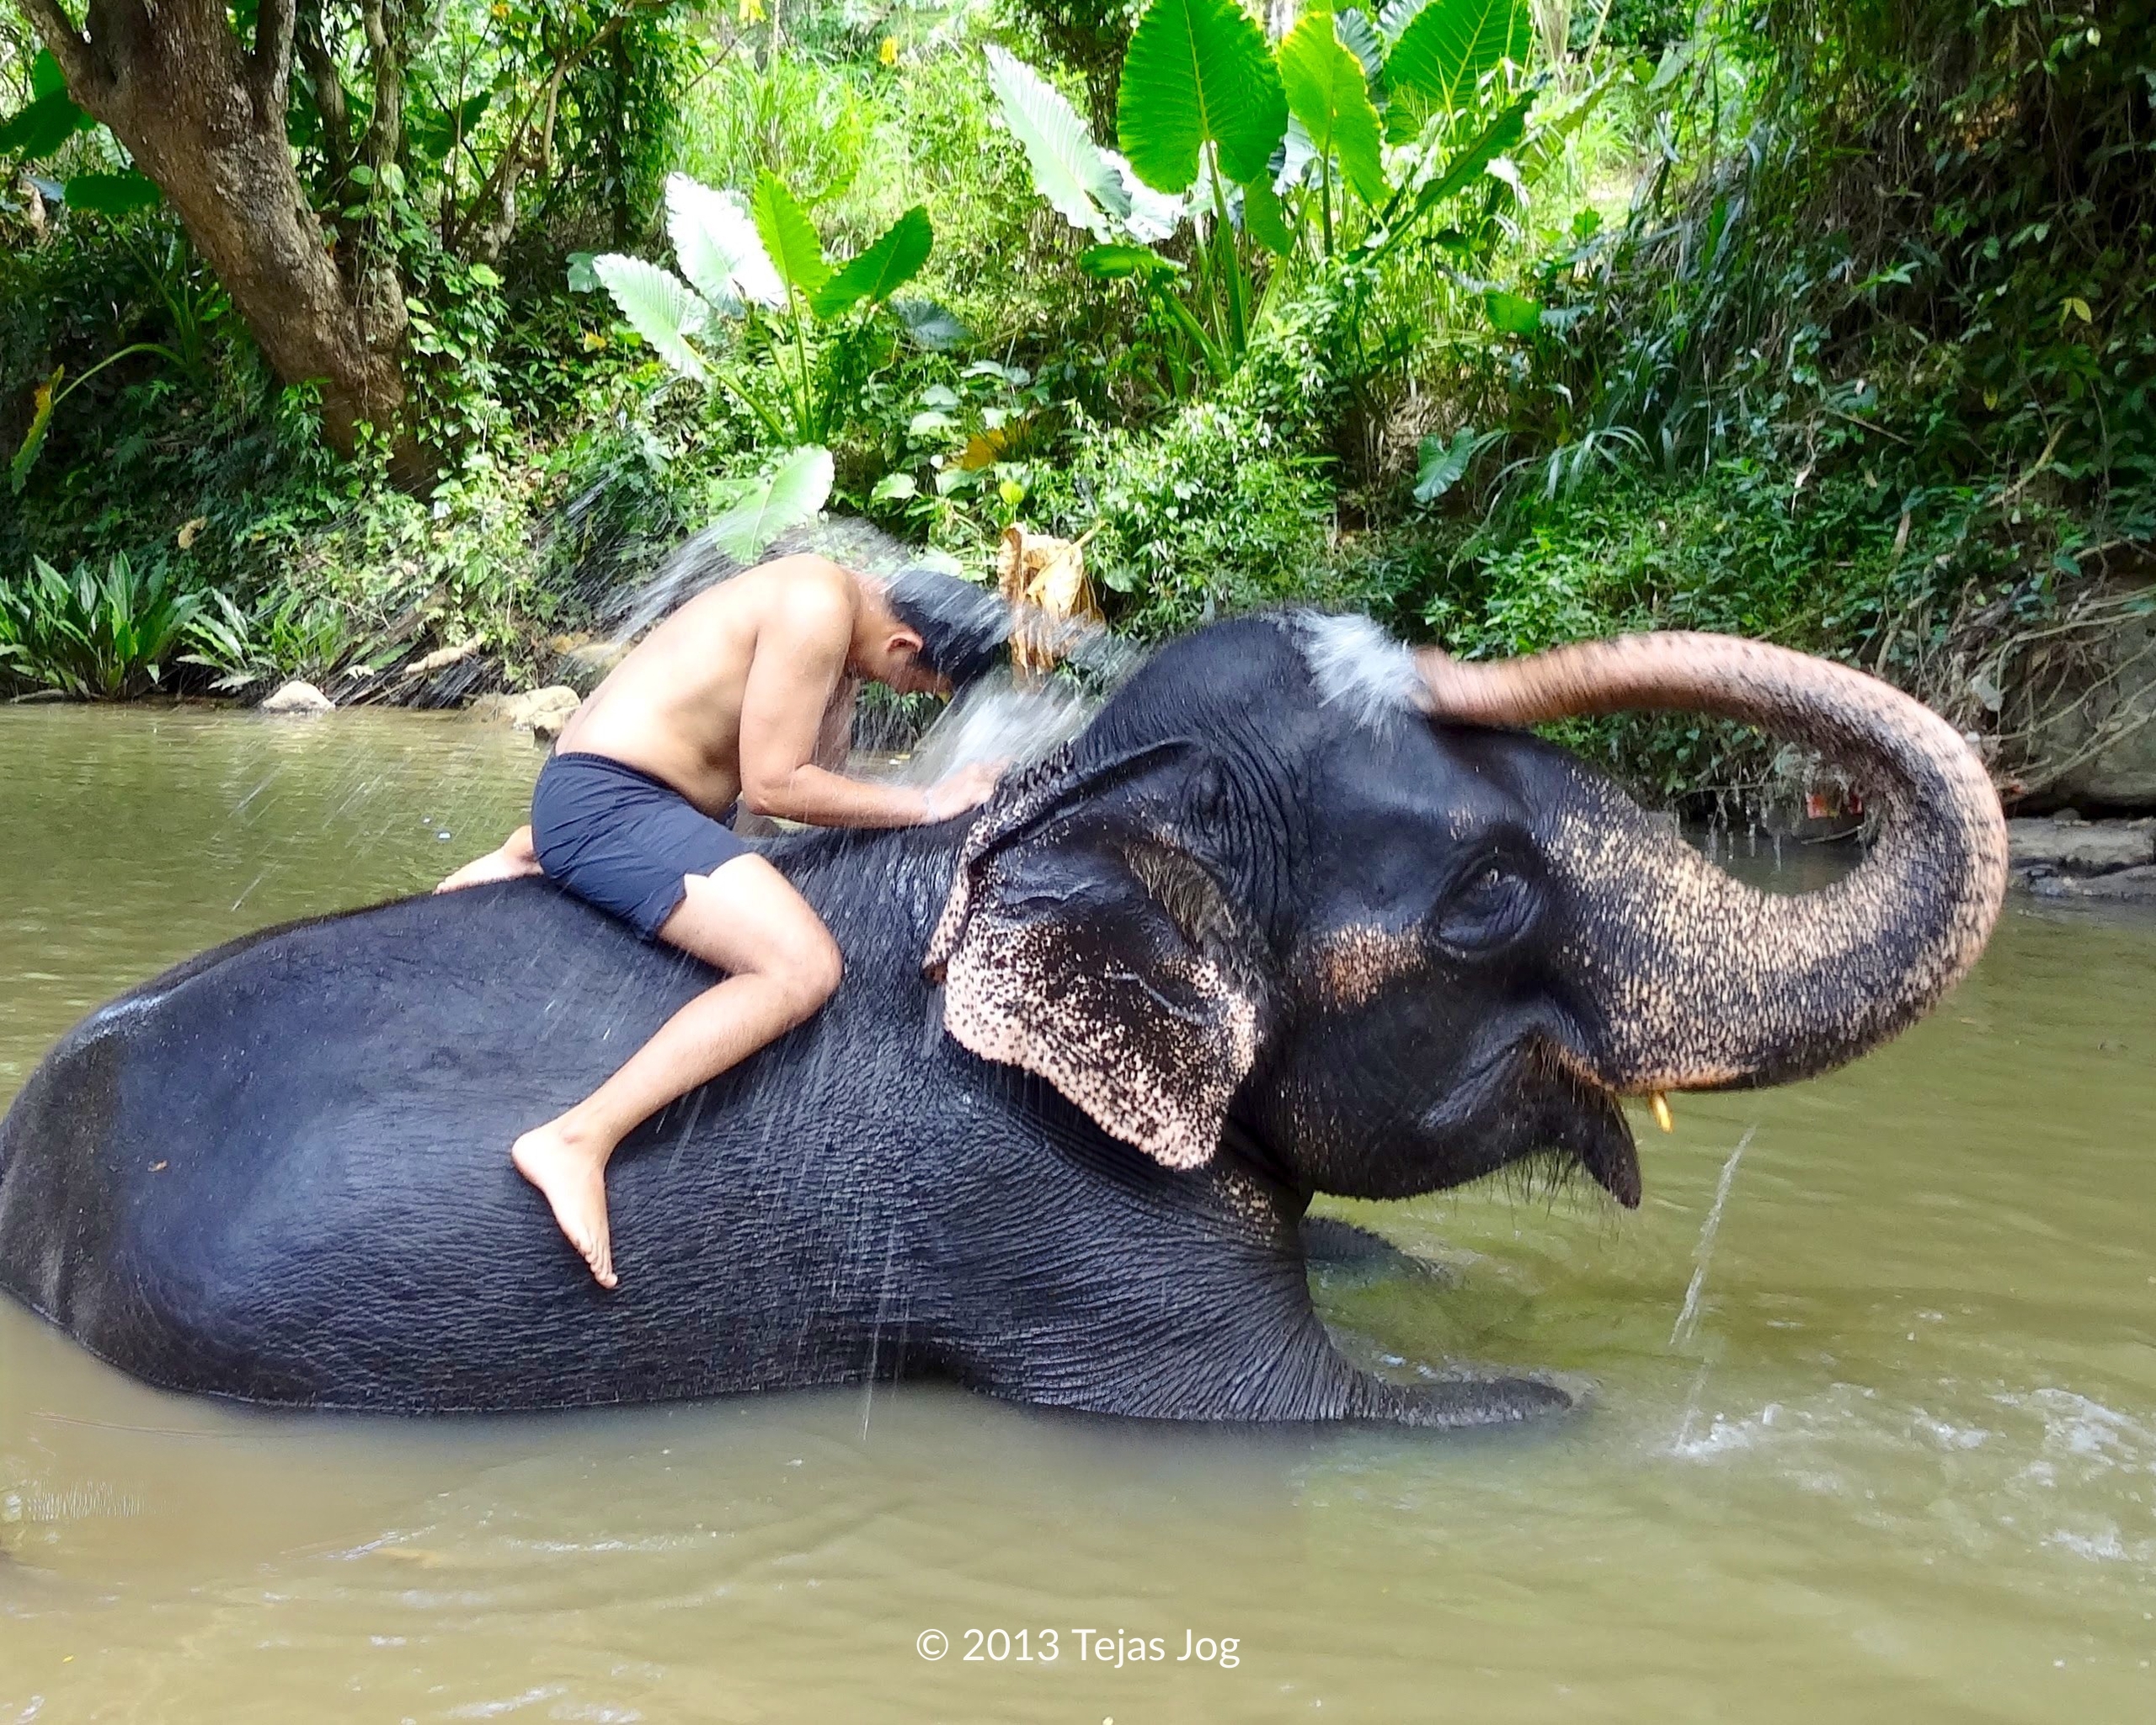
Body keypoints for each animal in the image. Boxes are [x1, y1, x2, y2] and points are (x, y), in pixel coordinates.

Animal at [0, 614, 2006, 1425]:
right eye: (1492, 896)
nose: (1403, 638)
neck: (1065, 810)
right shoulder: (1031, 1191)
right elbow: (1293, 1411)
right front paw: (1608, 1414)